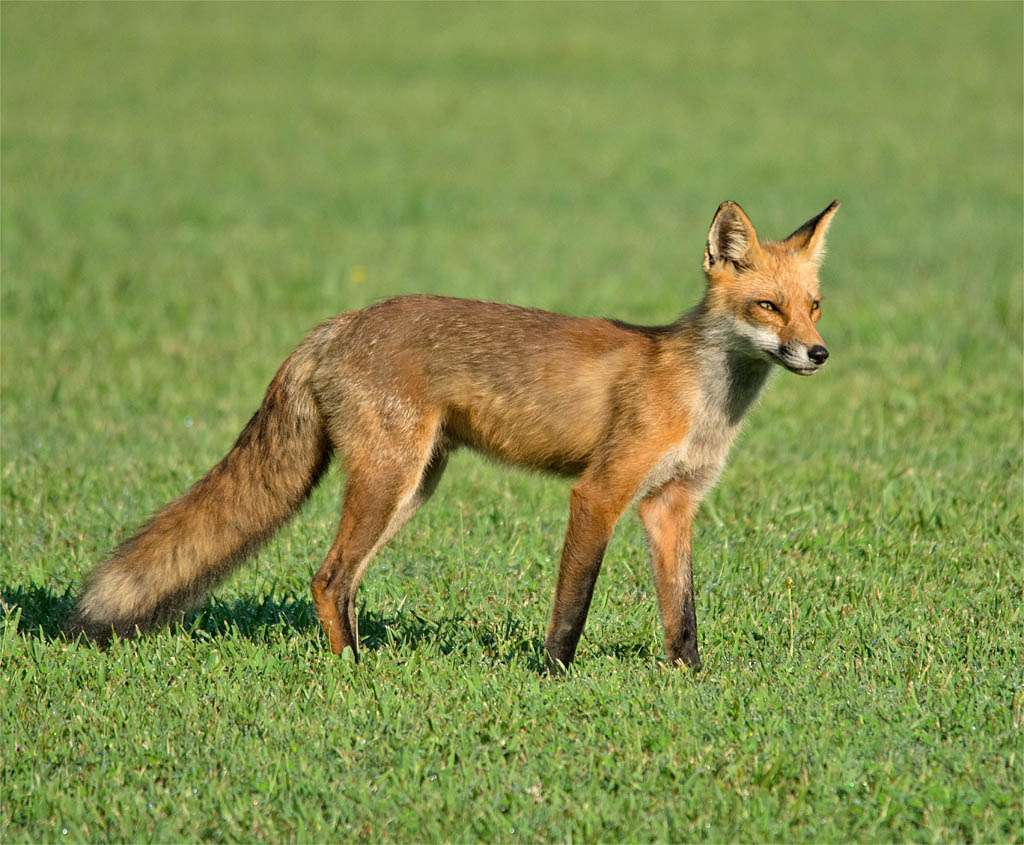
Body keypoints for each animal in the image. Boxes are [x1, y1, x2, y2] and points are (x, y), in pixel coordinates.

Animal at [66, 200, 839, 667]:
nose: (817, 353)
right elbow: (574, 603)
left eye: (814, 306)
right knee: (327, 576)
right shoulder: (599, 491)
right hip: (390, 479)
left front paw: (689, 679)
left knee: (341, 581)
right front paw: (552, 677)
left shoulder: (669, 505)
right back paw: (352, 672)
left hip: (413, 486)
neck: (698, 393)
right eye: (766, 306)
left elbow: (682, 613)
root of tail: (337, 322)